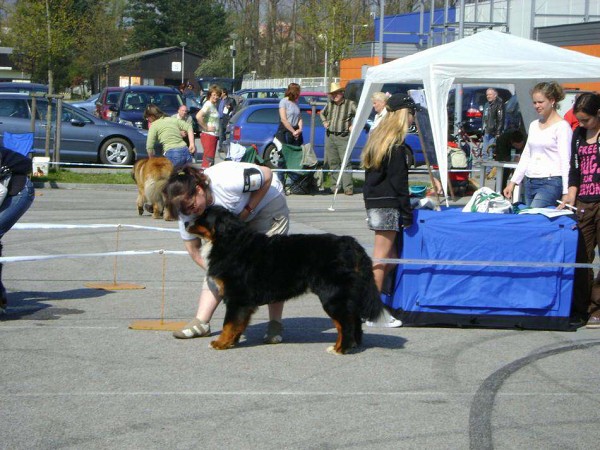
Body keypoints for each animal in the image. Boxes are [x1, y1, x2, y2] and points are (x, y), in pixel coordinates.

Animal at [186, 205, 384, 356]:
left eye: (203, 217)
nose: (186, 222)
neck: (228, 241)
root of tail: (351, 243)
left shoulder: (236, 297)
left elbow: (229, 323)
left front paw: (221, 343)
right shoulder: (242, 301)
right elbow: (238, 323)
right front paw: (232, 341)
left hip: (333, 296)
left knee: (346, 323)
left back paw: (340, 349)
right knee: (354, 320)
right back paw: (351, 345)